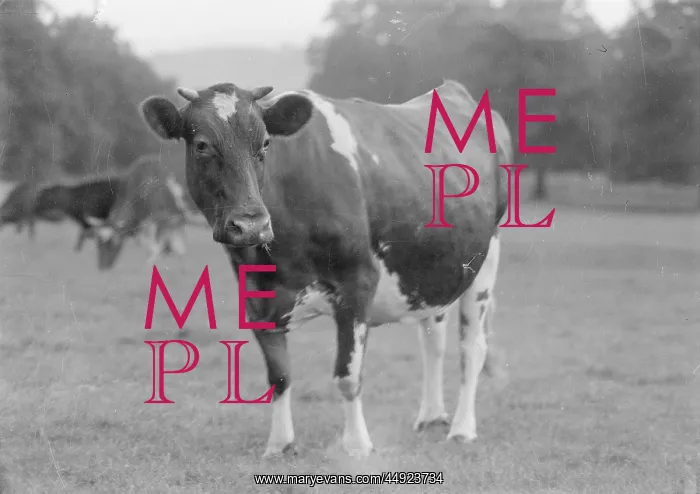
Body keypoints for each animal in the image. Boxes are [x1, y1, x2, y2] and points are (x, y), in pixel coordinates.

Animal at [138, 79, 511, 459]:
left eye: (266, 143)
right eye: (201, 144)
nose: (251, 224)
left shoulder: (358, 282)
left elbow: (347, 375)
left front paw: (358, 445)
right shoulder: (256, 298)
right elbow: (279, 376)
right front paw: (280, 444)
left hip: (487, 257)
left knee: (471, 347)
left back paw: (462, 428)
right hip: (434, 268)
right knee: (433, 340)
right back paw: (432, 416)